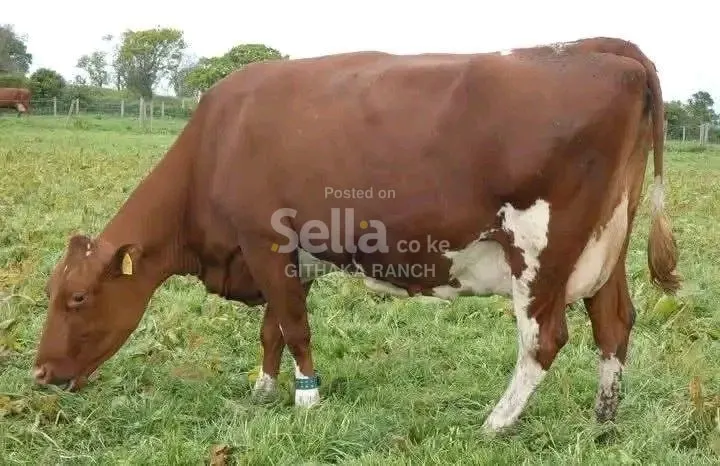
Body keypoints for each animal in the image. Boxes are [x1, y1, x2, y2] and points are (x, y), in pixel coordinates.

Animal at [32, 36, 680, 433]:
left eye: (78, 297)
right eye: (51, 293)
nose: (38, 374)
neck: (216, 144)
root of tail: (597, 47)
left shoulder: (265, 241)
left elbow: (293, 326)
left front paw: (307, 398)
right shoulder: (292, 256)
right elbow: (273, 328)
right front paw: (263, 390)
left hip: (542, 248)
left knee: (545, 337)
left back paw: (495, 424)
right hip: (604, 245)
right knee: (614, 323)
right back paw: (603, 419)